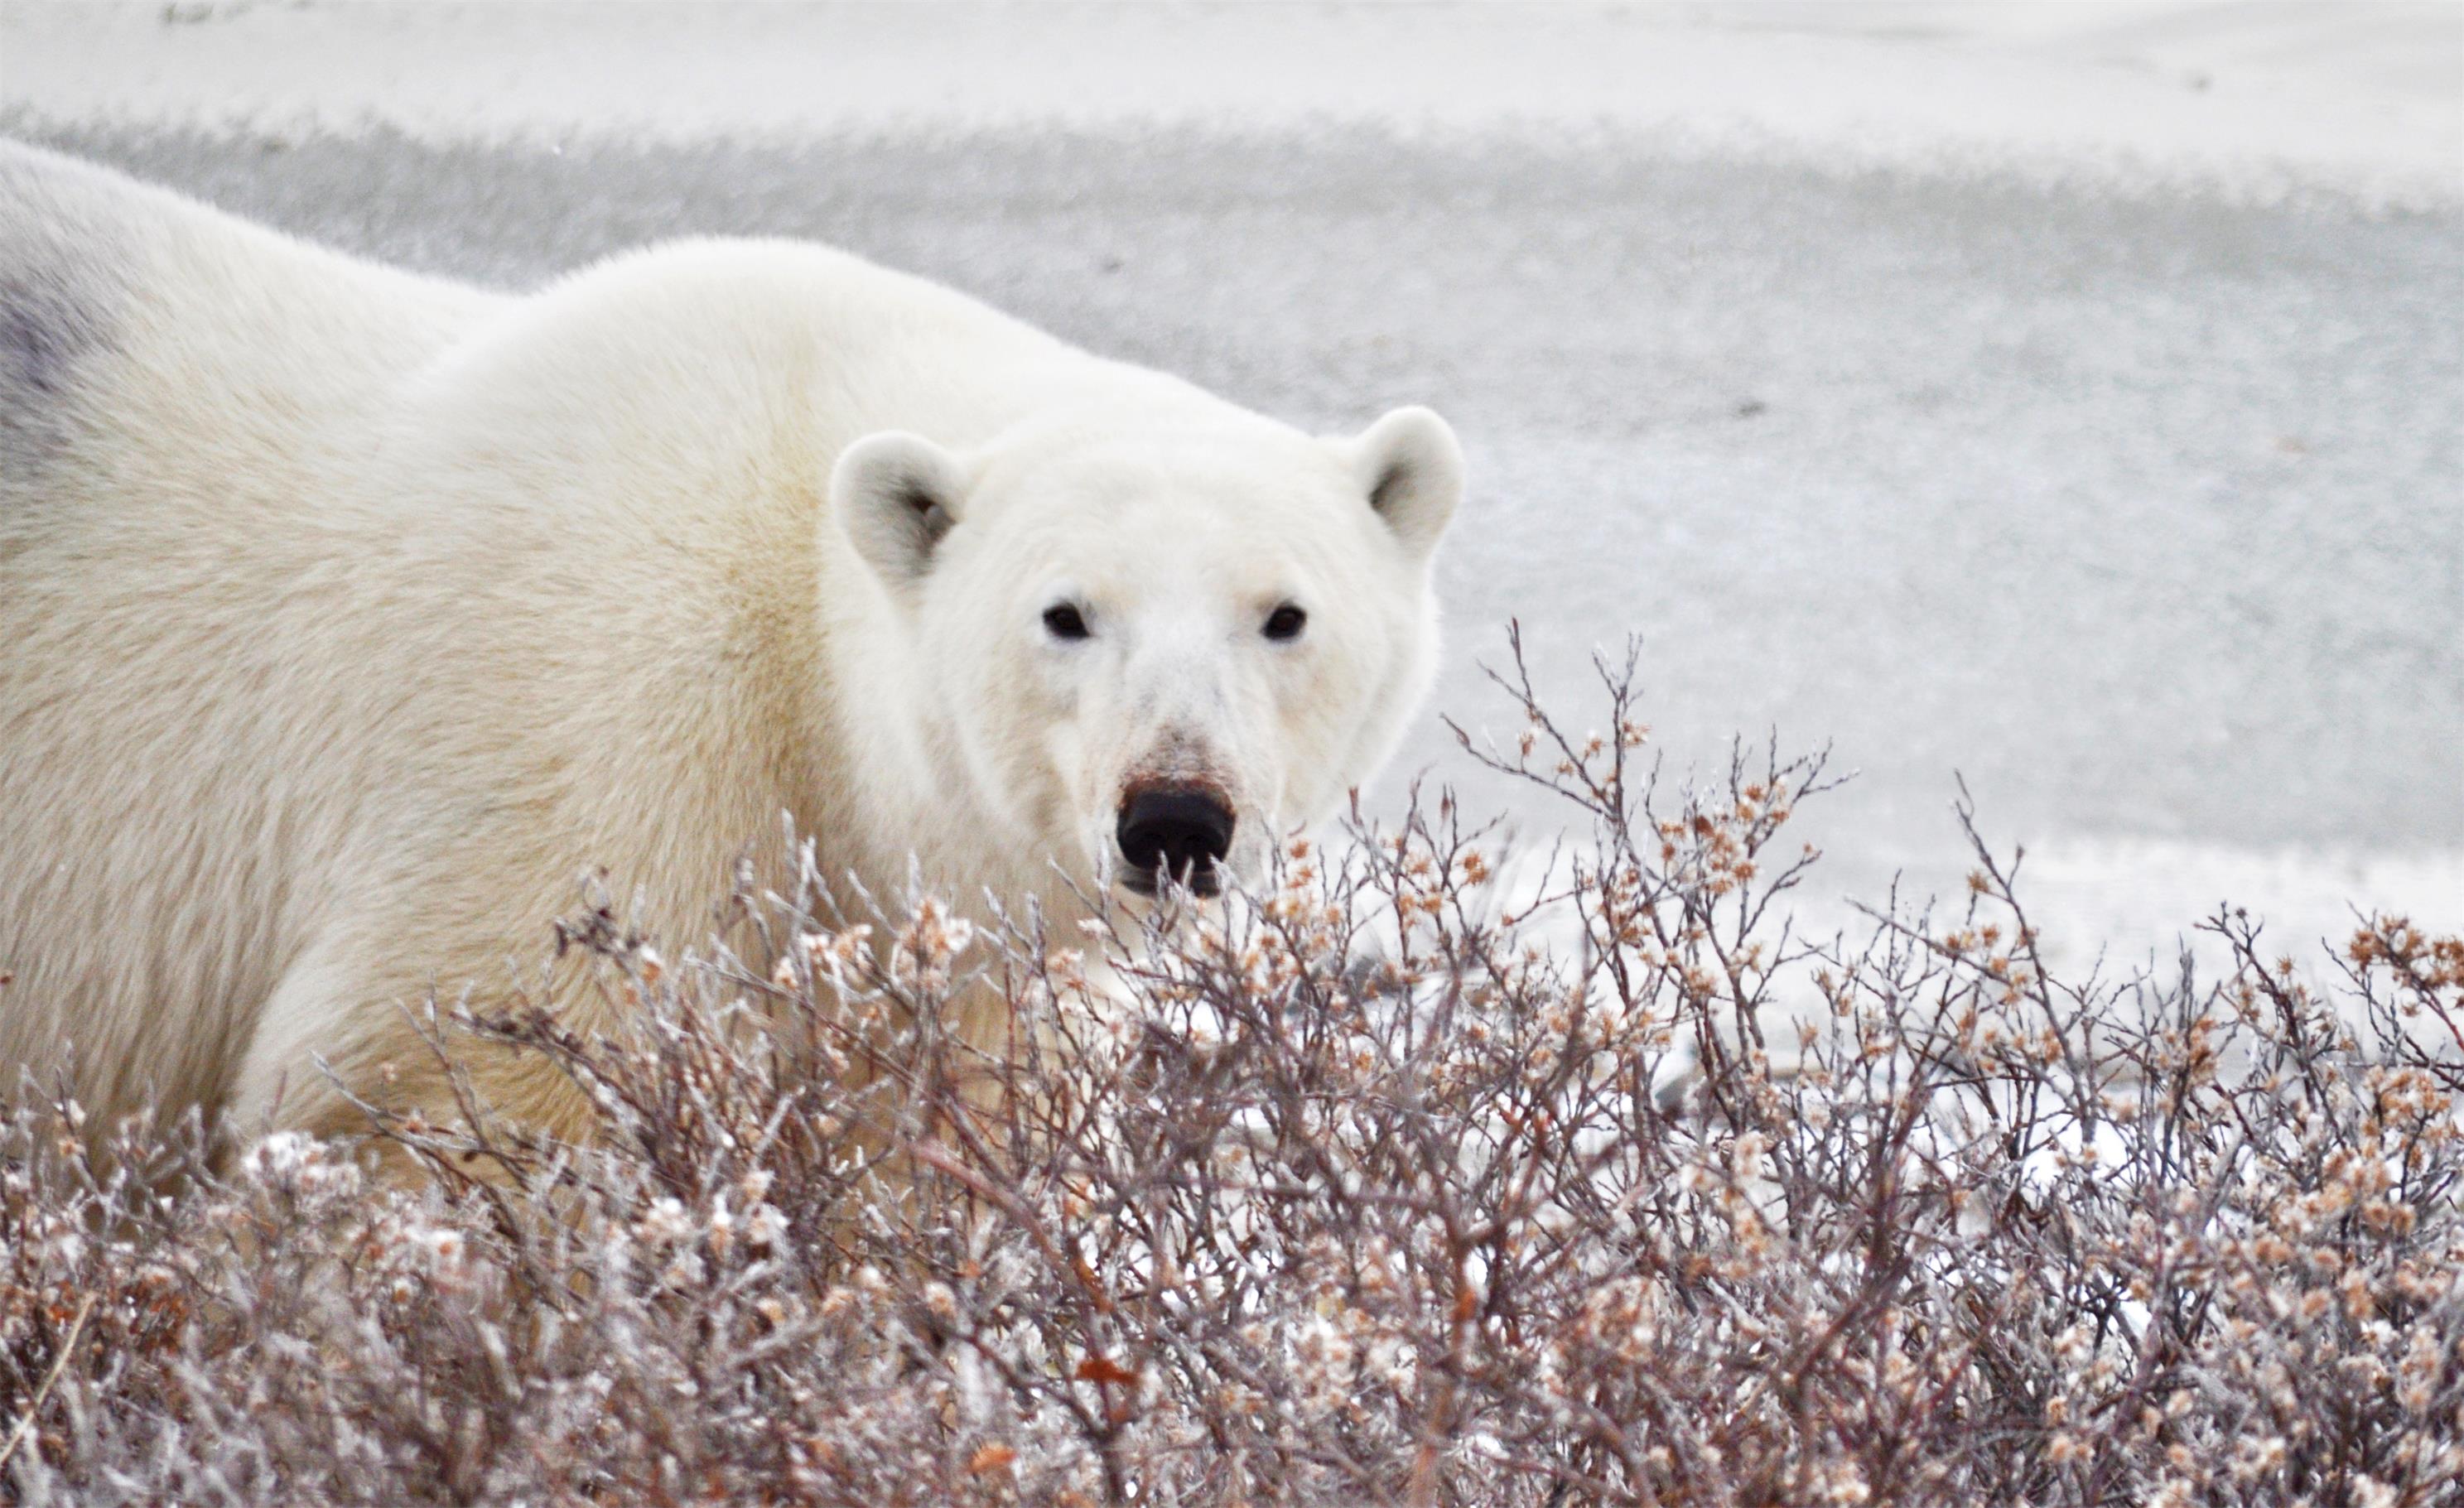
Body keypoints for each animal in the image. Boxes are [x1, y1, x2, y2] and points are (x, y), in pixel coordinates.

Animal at [0, 147, 1459, 1158]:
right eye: (1064, 612)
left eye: (1283, 614)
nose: (1173, 818)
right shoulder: (604, 729)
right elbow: (467, 1082)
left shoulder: (929, 948)